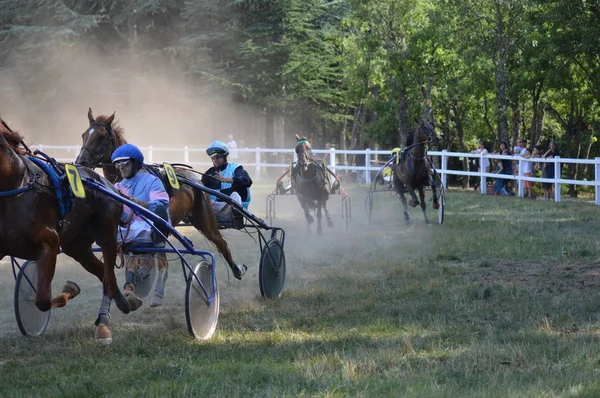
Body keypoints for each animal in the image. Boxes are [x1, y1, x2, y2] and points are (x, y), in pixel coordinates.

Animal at [0, 117, 130, 342]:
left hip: (107, 235)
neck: (17, 185)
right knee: (100, 270)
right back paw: (124, 303)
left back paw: (104, 324)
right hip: (77, 246)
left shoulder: (50, 244)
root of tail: (106, 184)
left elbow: (42, 300)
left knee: (109, 278)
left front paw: (70, 289)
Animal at [74, 109, 246, 282]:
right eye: (83, 135)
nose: (81, 162)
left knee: (221, 243)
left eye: (101, 136)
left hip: (205, 220)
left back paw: (237, 270)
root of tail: (193, 177)